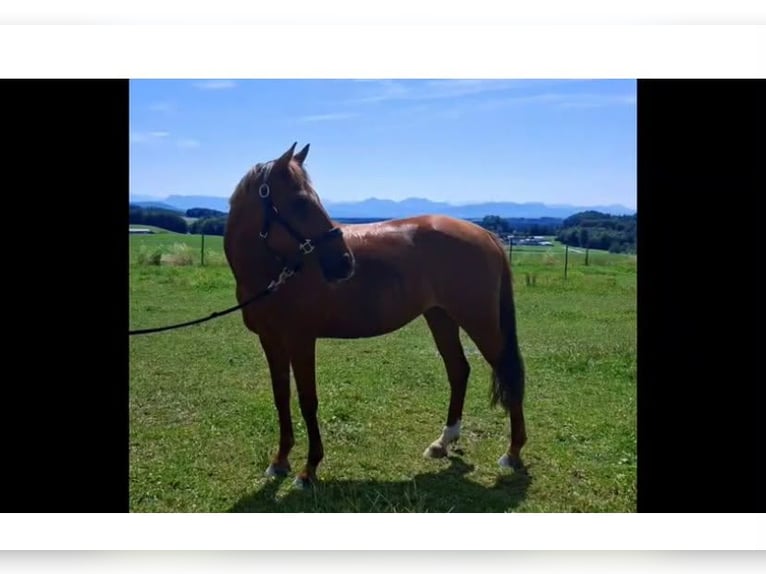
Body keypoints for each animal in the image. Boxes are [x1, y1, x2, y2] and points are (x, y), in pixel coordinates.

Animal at [223, 142, 527, 489]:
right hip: (440, 317)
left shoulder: (301, 340)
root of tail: (485, 233)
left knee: (509, 373)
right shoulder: (271, 341)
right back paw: (443, 442)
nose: (344, 262)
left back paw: (512, 453)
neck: (275, 271)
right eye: (300, 202)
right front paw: (280, 460)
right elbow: (281, 397)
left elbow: (307, 400)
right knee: (458, 370)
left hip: (479, 321)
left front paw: (309, 469)